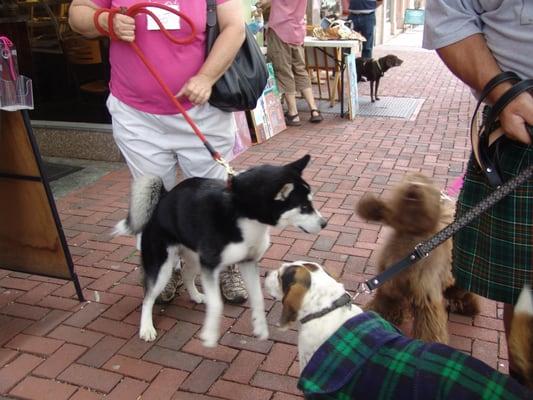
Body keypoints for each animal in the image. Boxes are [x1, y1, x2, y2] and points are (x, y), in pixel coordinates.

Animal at [114, 155, 326, 348]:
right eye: (304, 206)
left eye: (311, 203)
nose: (325, 223)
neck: (241, 210)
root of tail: (163, 198)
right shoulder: (210, 266)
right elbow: (217, 304)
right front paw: (209, 334)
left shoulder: (247, 262)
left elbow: (258, 298)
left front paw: (259, 326)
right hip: (162, 267)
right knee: (148, 297)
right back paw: (146, 328)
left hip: (194, 259)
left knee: (186, 274)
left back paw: (196, 296)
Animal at [358, 173, 478, 344]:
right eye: (409, 178)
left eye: (427, 183)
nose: (414, 186)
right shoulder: (388, 286)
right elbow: (382, 305)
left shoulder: (426, 295)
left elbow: (430, 326)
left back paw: (465, 305)